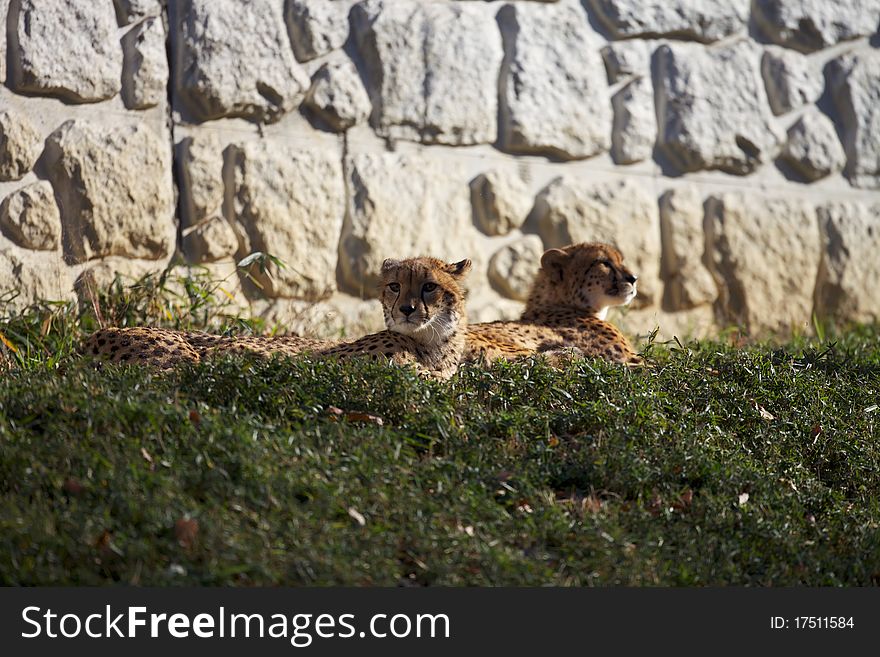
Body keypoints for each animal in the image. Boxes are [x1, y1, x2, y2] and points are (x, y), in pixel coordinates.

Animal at [82, 256, 474, 380]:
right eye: (395, 286)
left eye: (428, 287)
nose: (406, 309)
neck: (431, 343)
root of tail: (90, 338)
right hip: (183, 357)